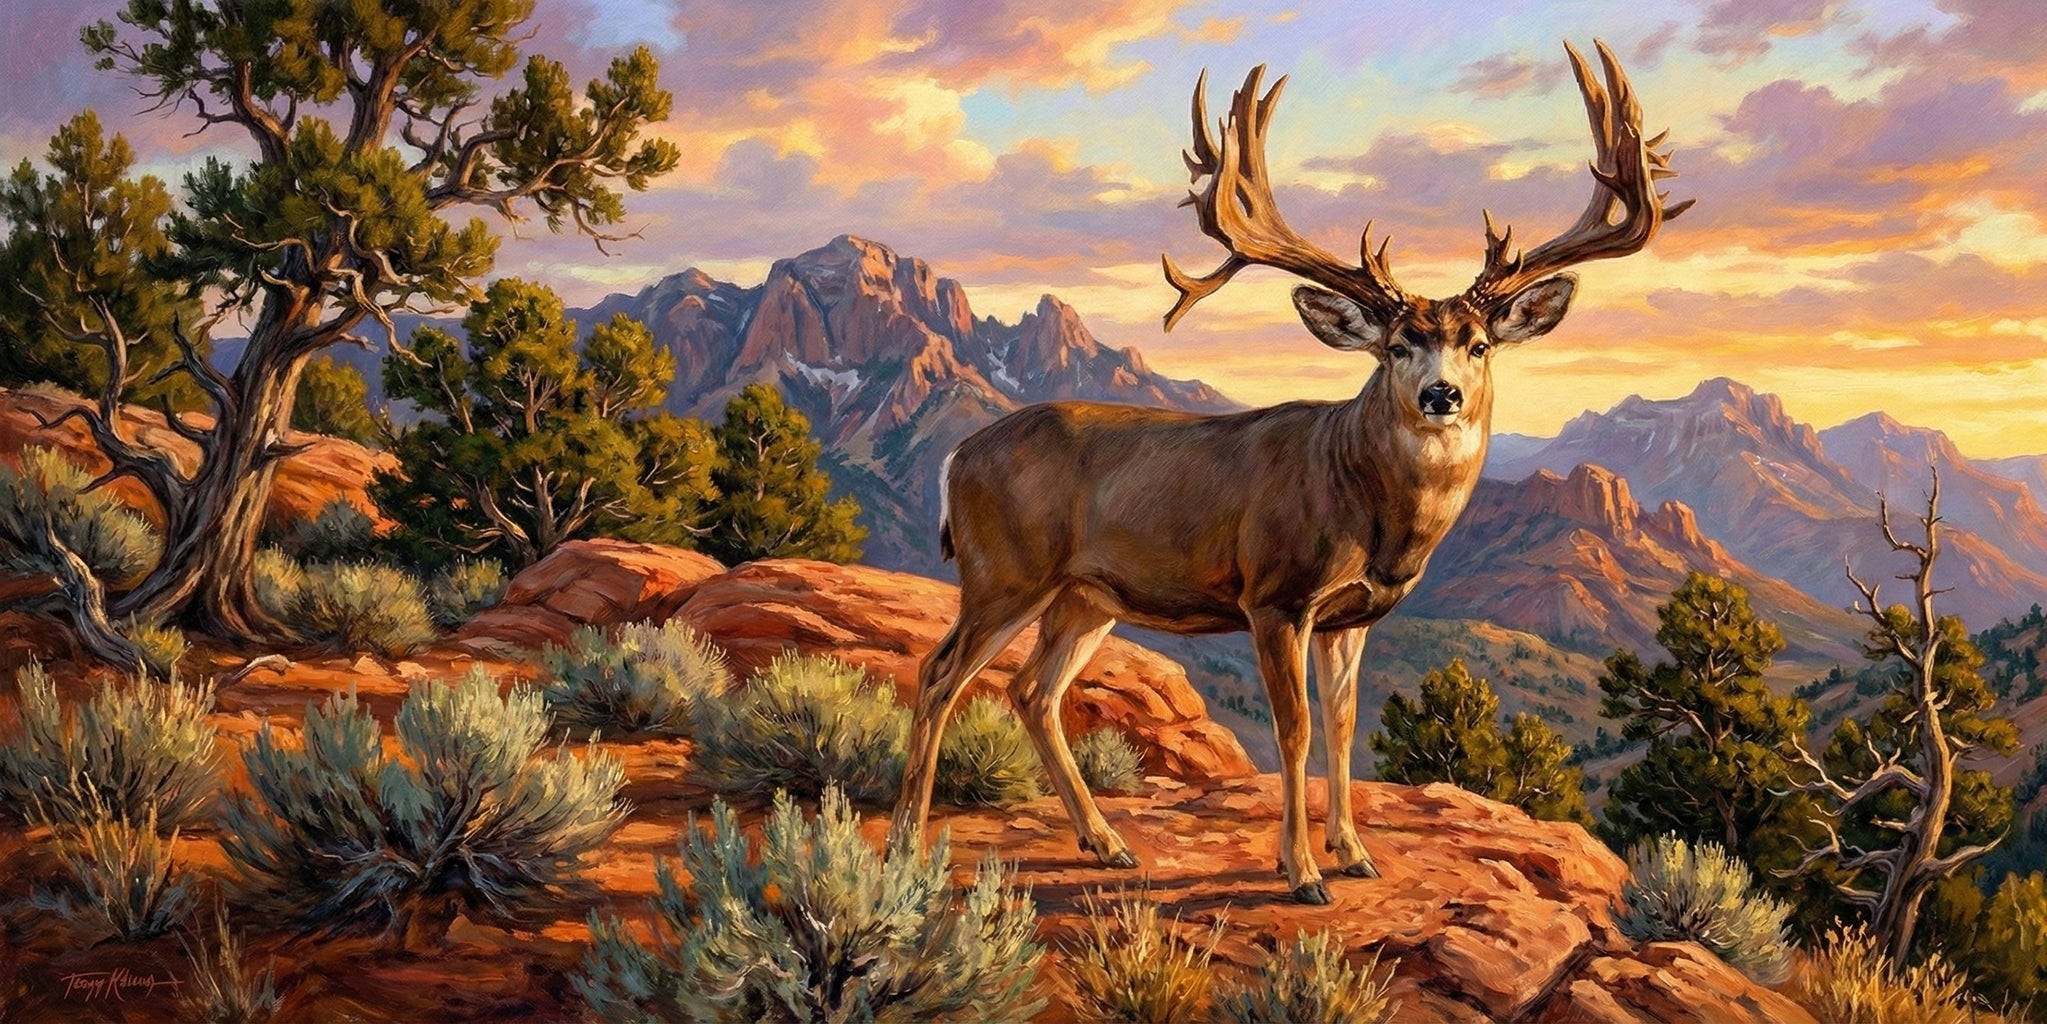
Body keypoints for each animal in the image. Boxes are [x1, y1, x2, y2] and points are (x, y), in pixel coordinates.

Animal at [887, 41, 1689, 904]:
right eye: (1396, 344)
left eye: (1478, 343)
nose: (1440, 395)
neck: (1368, 508)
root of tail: (957, 455)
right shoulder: (1274, 595)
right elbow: (1294, 729)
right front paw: (1301, 871)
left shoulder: (1350, 616)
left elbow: (1340, 727)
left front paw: (1354, 852)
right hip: (1005, 570)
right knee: (939, 674)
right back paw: (905, 846)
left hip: (1085, 594)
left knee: (1033, 691)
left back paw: (1106, 845)